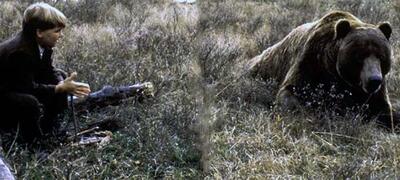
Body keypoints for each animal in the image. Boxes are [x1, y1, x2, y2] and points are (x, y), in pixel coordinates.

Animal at [248, 10, 396, 129]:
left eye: (382, 56)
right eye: (360, 56)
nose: (374, 80)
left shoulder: (373, 93)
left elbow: (382, 110)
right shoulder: (311, 62)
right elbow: (292, 91)